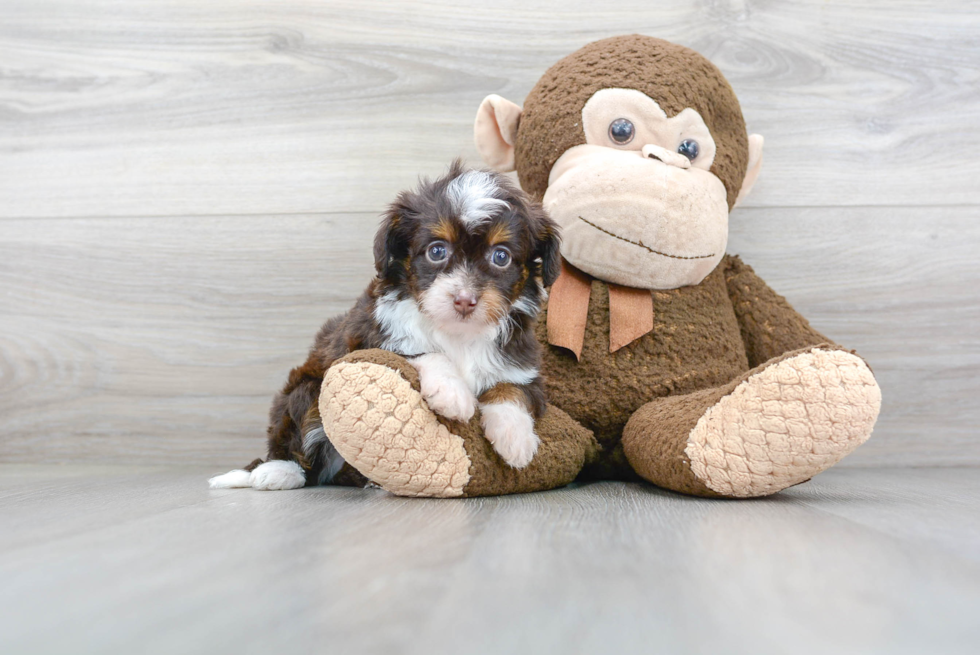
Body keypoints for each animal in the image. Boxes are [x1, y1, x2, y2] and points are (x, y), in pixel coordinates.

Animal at [211, 161, 560, 490]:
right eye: (437, 251)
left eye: (501, 257)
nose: (464, 300)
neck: (457, 333)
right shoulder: (369, 338)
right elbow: (421, 351)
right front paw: (452, 392)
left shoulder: (521, 363)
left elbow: (512, 389)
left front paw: (515, 438)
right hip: (306, 393)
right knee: (298, 448)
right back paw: (277, 471)